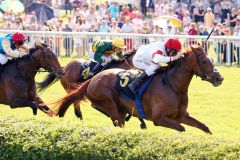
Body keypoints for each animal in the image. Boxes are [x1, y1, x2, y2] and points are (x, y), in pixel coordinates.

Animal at [54, 45, 223, 132]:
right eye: (203, 61)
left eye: (211, 59)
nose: (219, 78)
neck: (172, 85)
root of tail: (92, 79)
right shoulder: (159, 119)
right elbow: (181, 129)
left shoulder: (181, 116)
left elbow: (204, 127)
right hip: (107, 101)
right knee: (98, 108)